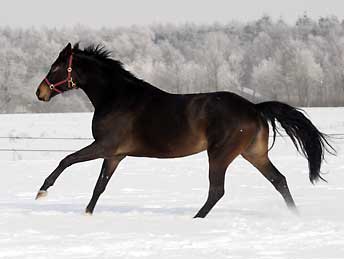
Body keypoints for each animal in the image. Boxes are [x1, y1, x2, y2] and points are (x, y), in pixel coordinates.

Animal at [35, 43, 334, 218]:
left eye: (56, 66)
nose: (40, 93)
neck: (117, 98)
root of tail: (255, 108)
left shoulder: (105, 146)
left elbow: (67, 159)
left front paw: (42, 191)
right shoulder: (115, 155)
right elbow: (100, 185)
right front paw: (86, 215)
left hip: (220, 155)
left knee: (217, 191)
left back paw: (195, 220)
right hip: (254, 154)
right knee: (279, 180)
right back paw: (295, 215)